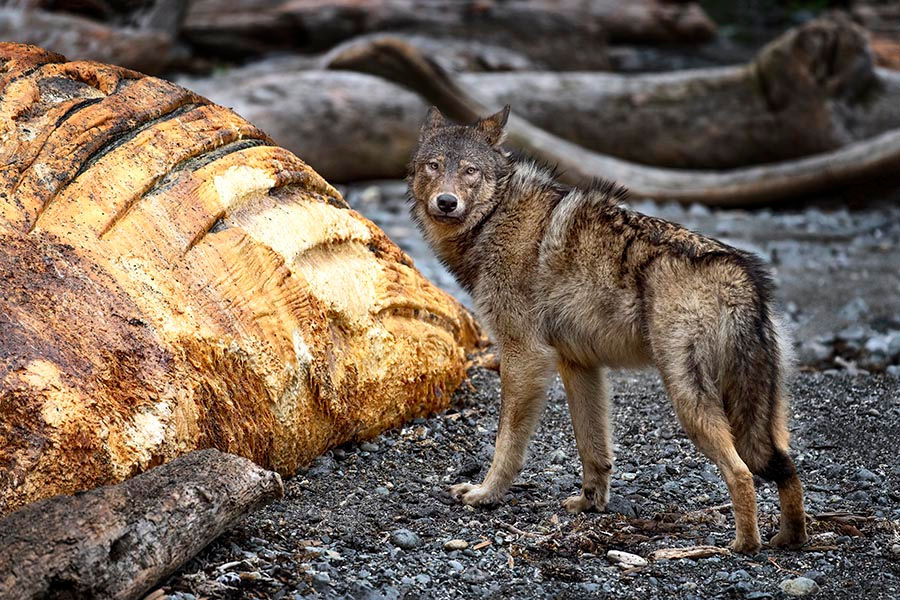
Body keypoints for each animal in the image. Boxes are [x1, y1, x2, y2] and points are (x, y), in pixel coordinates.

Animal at [407, 105, 809, 554]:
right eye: (434, 166)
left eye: (470, 171)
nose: (446, 202)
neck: (495, 218)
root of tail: (737, 272)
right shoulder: (578, 365)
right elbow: (593, 448)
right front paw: (590, 503)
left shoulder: (524, 356)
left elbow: (506, 443)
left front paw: (486, 494)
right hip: (759, 414)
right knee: (788, 469)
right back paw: (790, 539)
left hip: (689, 402)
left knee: (742, 474)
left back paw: (743, 545)